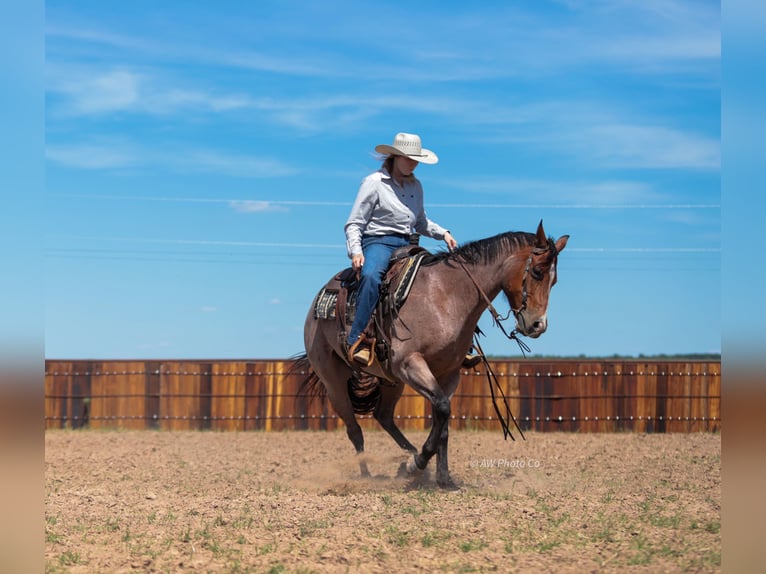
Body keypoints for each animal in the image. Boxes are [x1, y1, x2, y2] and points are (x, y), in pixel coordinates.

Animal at [299, 220, 568, 489]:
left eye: (554, 281)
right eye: (537, 272)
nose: (538, 325)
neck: (446, 295)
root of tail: (318, 301)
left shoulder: (447, 374)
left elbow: (444, 421)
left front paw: (442, 477)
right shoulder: (410, 364)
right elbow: (442, 409)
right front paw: (417, 464)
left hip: (391, 381)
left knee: (383, 416)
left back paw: (407, 458)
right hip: (334, 381)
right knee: (354, 430)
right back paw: (368, 475)